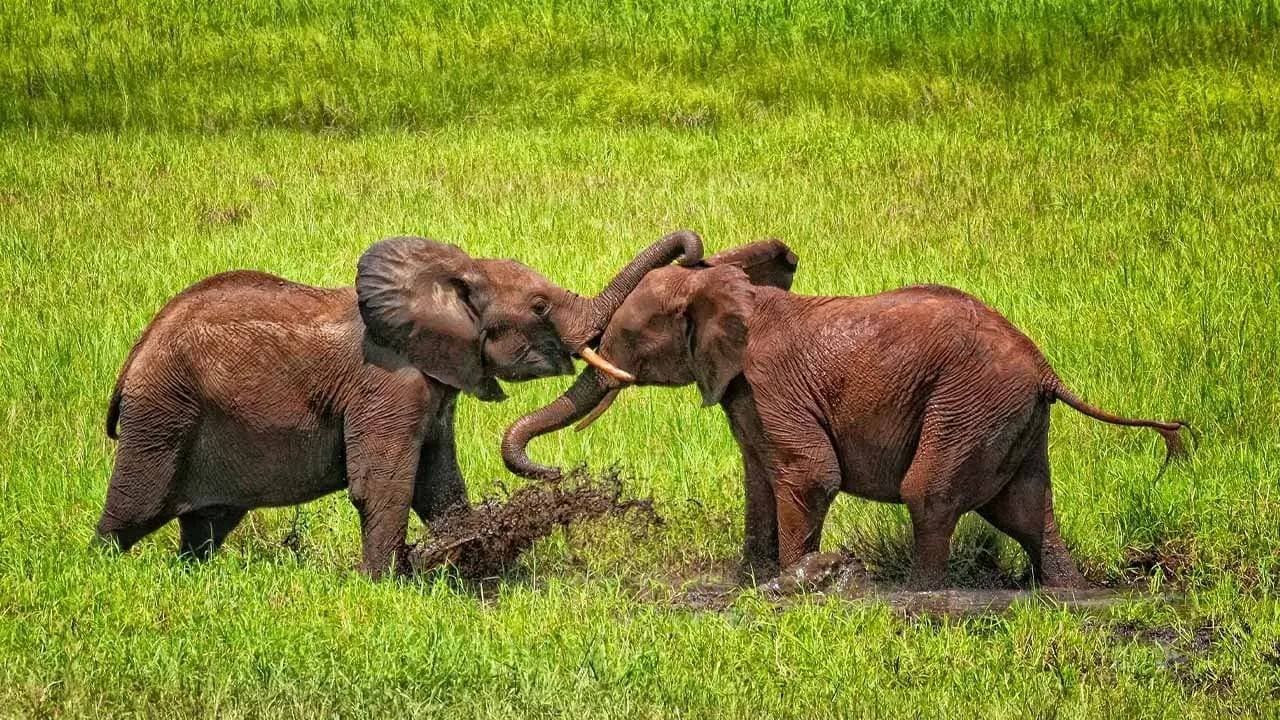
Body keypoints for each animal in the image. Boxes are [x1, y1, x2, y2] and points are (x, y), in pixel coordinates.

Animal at [98, 230, 702, 577]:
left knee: (207, 525)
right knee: (132, 511)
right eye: (539, 306)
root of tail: (133, 359)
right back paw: (103, 573)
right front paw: (383, 586)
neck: (450, 281)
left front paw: (466, 565)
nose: (694, 255)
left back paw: (190, 575)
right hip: (163, 412)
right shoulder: (388, 385)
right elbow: (385, 484)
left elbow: (440, 485)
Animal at [501, 251, 1190, 589]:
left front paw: (788, 585)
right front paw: (749, 581)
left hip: (970, 403)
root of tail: (1047, 370)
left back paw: (920, 595)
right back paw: (1064, 594)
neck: (736, 293)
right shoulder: (742, 391)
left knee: (930, 494)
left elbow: (809, 476)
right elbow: (760, 479)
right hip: (1008, 416)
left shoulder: (770, 382)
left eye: (626, 336)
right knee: (1026, 511)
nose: (556, 474)